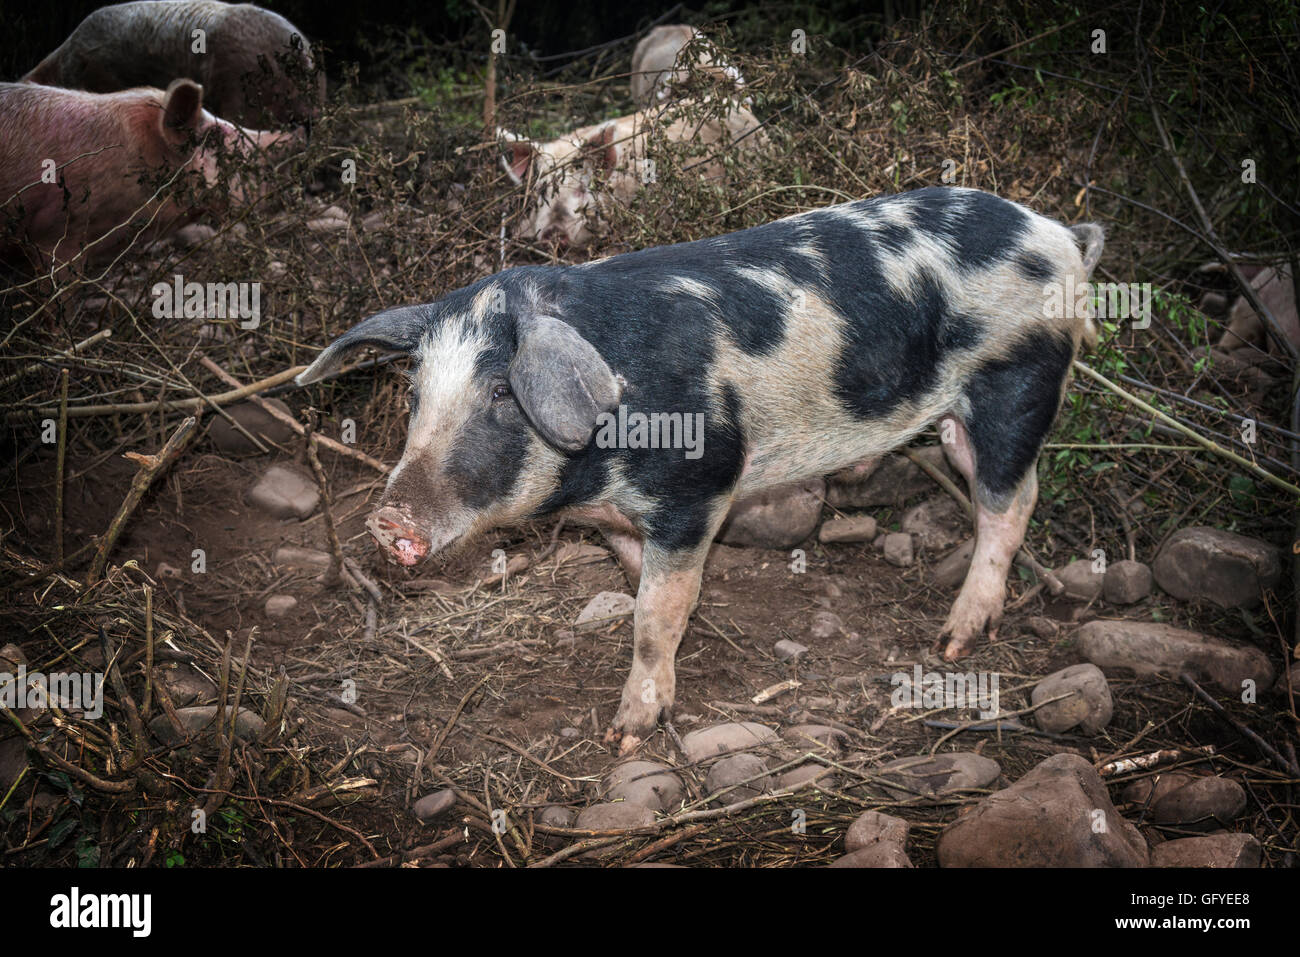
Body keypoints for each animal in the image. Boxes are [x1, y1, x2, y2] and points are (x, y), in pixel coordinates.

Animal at [299, 187, 1102, 748]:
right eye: (414, 392)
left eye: (502, 391)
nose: (388, 517)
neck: (599, 464)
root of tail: (1059, 232)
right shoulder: (622, 516)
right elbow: (644, 585)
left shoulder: (697, 485)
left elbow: (654, 615)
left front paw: (626, 736)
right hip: (965, 415)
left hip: (1019, 378)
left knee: (1011, 501)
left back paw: (953, 638)